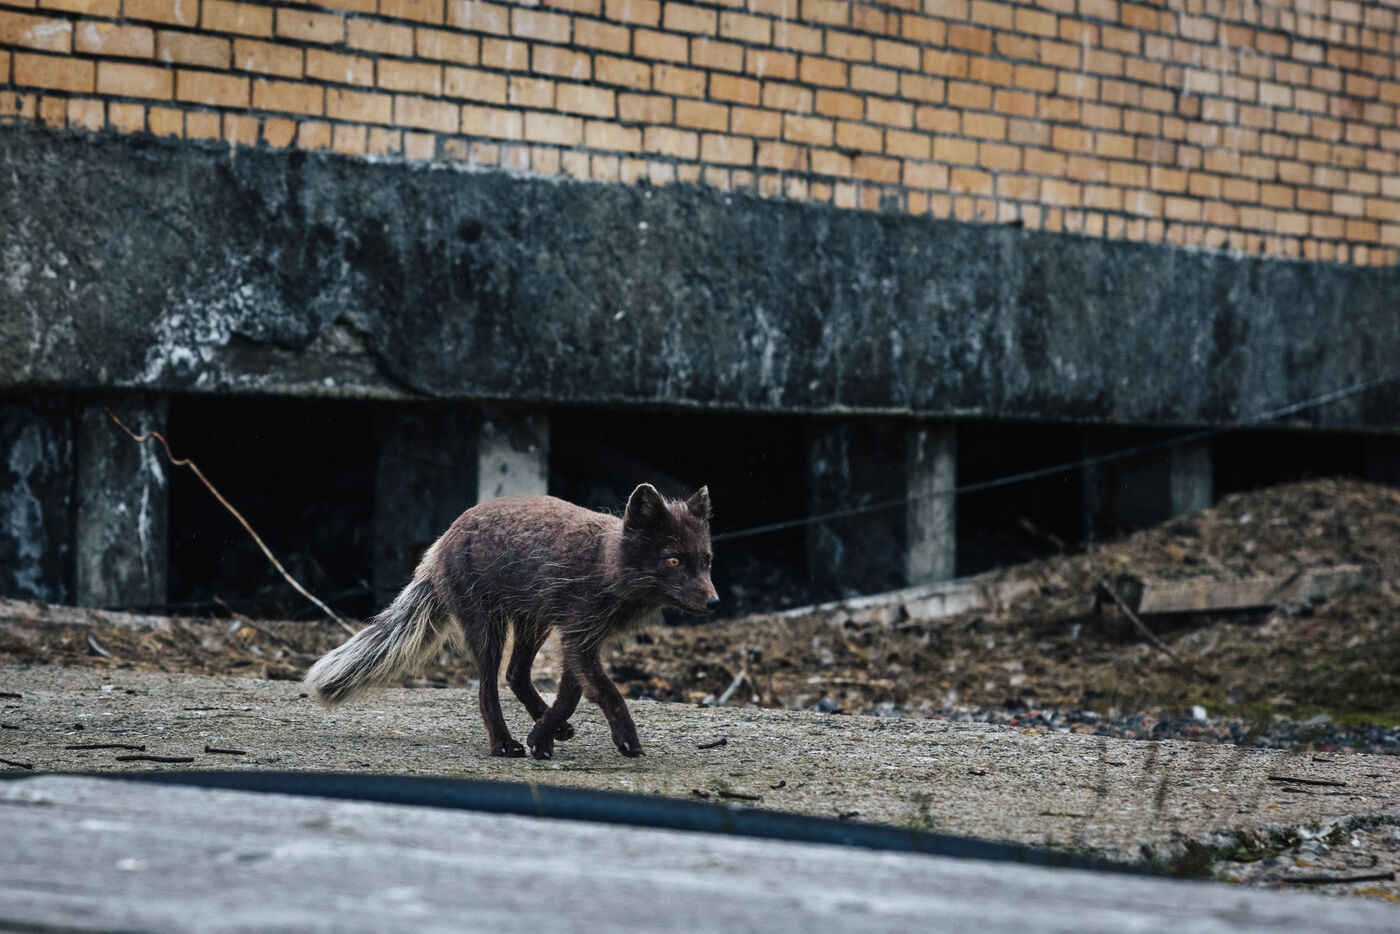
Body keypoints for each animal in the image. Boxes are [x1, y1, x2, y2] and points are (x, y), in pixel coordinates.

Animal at [304, 483, 717, 760]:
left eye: (707, 561)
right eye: (673, 560)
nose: (715, 602)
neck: (607, 566)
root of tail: (441, 541)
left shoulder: (579, 638)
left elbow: (571, 695)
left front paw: (544, 736)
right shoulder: (579, 637)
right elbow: (606, 692)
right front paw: (624, 738)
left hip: (533, 624)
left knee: (515, 674)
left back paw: (547, 728)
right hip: (489, 629)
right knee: (488, 688)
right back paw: (503, 744)